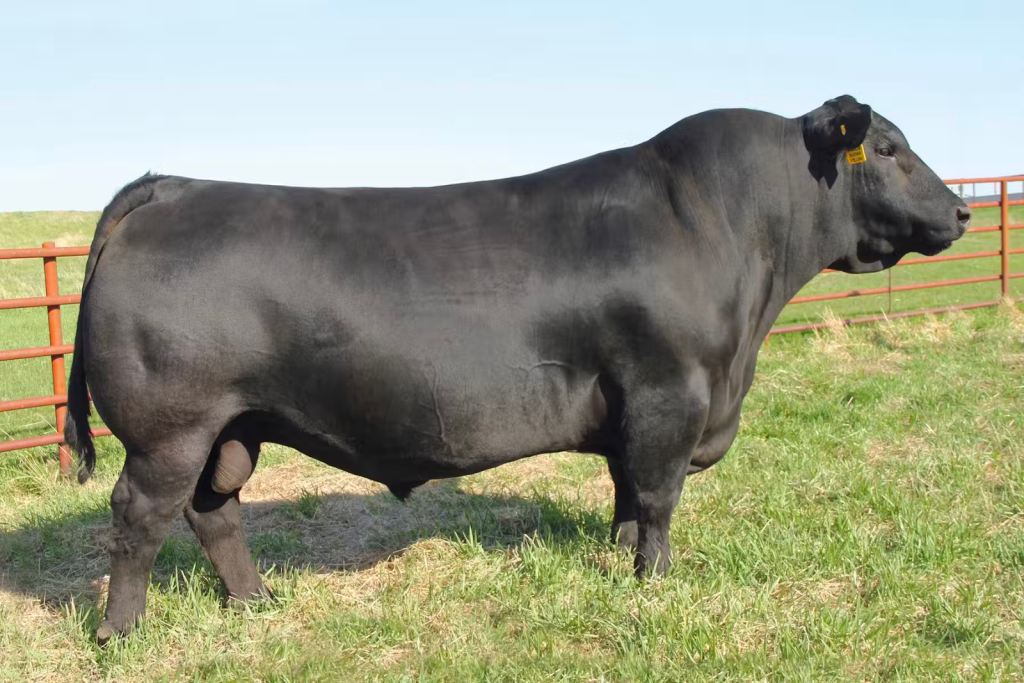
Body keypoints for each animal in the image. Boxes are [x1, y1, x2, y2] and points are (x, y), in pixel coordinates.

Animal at [64, 95, 970, 643]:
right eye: (888, 148)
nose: (963, 209)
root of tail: (173, 186)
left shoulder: (635, 408)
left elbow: (626, 493)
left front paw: (619, 561)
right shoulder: (670, 393)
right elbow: (659, 496)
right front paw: (655, 582)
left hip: (232, 424)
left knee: (213, 509)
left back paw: (256, 601)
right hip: (169, 428)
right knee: (140, 516)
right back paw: (120, 630)